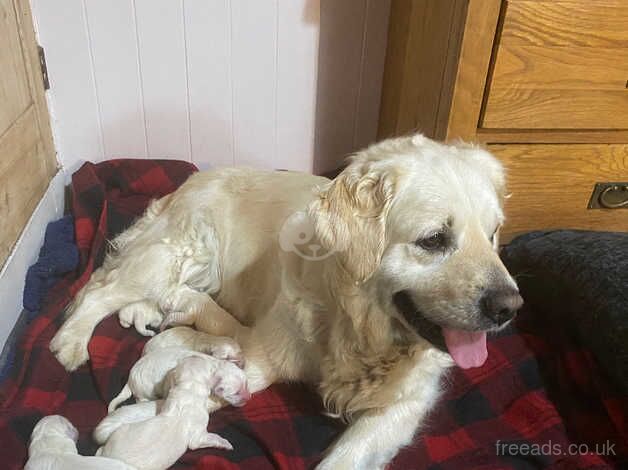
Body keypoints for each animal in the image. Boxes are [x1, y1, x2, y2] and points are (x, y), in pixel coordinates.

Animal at [97, 356, 249, 470]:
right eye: (236, 393)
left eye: (247, 384)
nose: (249, 397)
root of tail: (130, 377)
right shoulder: (198, 435)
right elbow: (207, 438)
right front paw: (225, 443)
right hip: (144, 392)